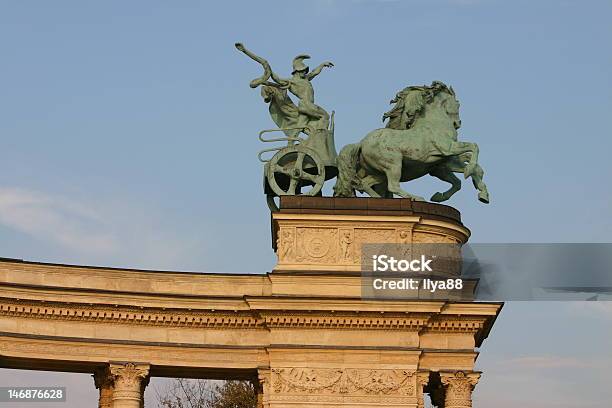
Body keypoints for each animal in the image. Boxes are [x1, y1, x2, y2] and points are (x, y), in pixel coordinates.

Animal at [332, 81, 490, 202]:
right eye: (458, 104)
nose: (458, 123)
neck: (434, 123)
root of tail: (361, 143)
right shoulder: (448, 149)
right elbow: (474, 146)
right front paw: (469, 172)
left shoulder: (444, 161)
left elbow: (463, 176)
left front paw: (482, 194)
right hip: (393, 165)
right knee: (392, 185)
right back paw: (416, 197)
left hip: (379, 172)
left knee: (365, 184)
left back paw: (381, 199)